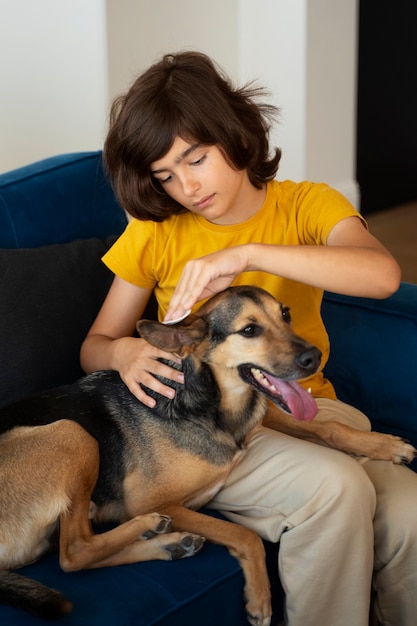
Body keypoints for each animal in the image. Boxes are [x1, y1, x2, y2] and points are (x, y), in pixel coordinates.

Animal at [0, 286, 322, 620]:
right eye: (249, 330)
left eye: (285, 314)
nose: (315, 357)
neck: (211, 405)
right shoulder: (152, 501)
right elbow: (243, 534)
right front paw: (260, 598)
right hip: (73, 434)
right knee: (74, 553)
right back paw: (149, 527)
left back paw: (169, 545)